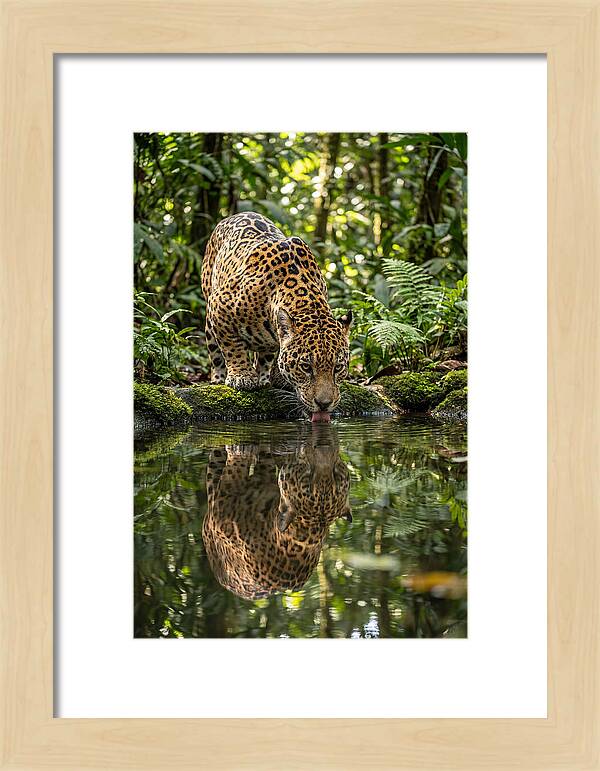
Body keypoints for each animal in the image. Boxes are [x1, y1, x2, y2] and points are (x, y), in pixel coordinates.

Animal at [201, 212, 352, 421]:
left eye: (338, 368)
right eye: (306, 367)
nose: (324, 404)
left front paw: (275, 378)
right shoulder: (219, 305)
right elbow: (232, 347)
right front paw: (242, 377)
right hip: (209, 310)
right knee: (215, 352)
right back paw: (219, 378)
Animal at [202, 428, 352, 600]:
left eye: (336, 475)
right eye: (308, 478)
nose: (324, 445)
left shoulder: (222, 508)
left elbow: (236, 470)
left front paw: (240, 450)